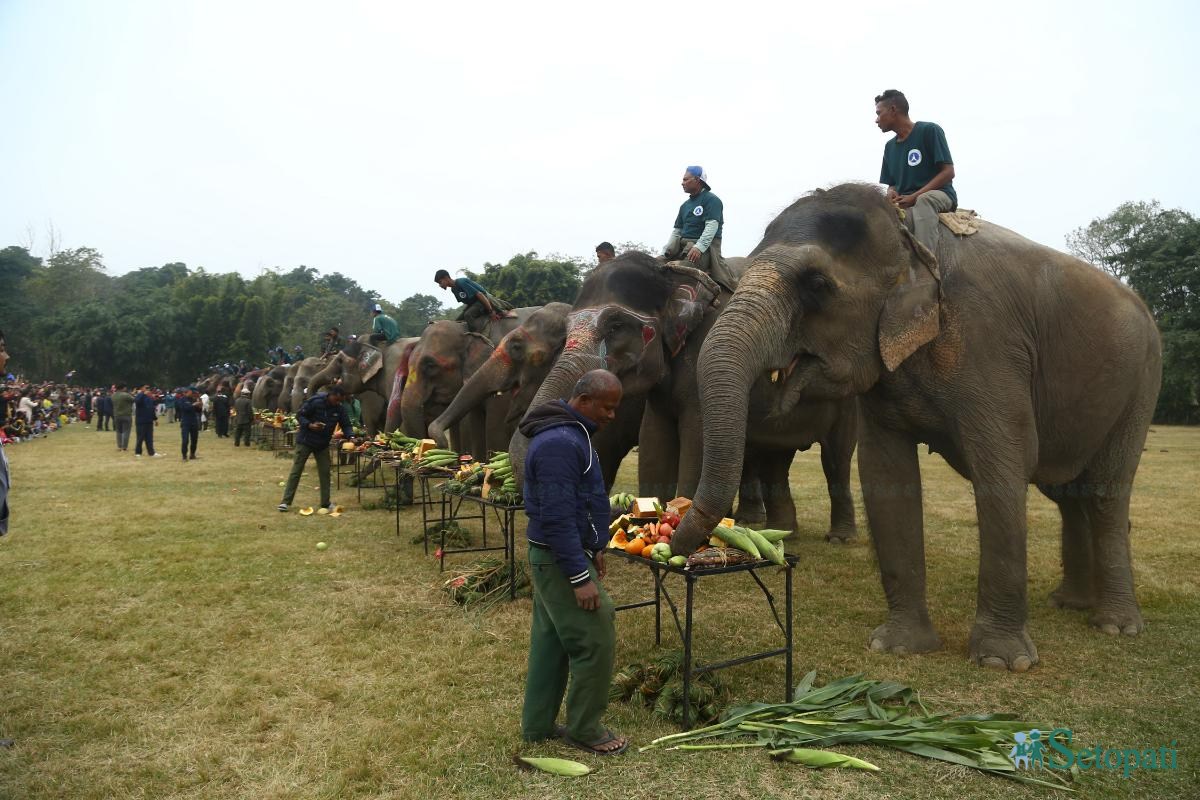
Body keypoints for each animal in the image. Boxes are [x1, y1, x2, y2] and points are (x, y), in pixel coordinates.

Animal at [672, 183, 1156, 671]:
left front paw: (1002, 662)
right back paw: (1069, 603)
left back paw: (1115, 625)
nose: (675, 544)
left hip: (1141, 387)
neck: (908, 236)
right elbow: (886, 475)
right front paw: (899, 646)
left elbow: (1002, 469)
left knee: (1105, 492)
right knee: (1067, 492)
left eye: (817, 285)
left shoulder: (989, 342)